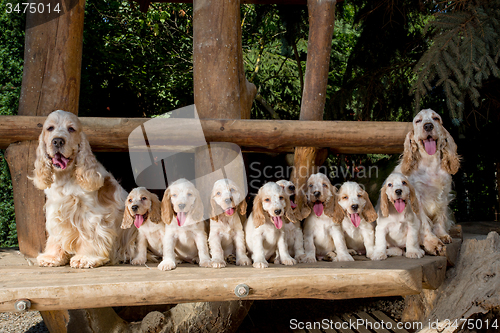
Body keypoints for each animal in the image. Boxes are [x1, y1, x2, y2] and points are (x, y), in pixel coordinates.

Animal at [32, 110, 132, 268]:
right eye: (50, 128)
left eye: (71, 129)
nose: (58, 141)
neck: (65, 178)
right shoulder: (56, 209)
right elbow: (56, 235)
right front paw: (52, 257)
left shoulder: (90, 214)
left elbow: (90, 236)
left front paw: (85, 258)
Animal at [394, 108, 460, 252]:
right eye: (418, 121)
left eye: (436, 118)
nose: (428, 126)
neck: (430, 164)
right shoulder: (417, 198)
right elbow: (424, 224)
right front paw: (433, 243)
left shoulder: (443, 196)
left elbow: (440, 218)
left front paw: (442, 235)